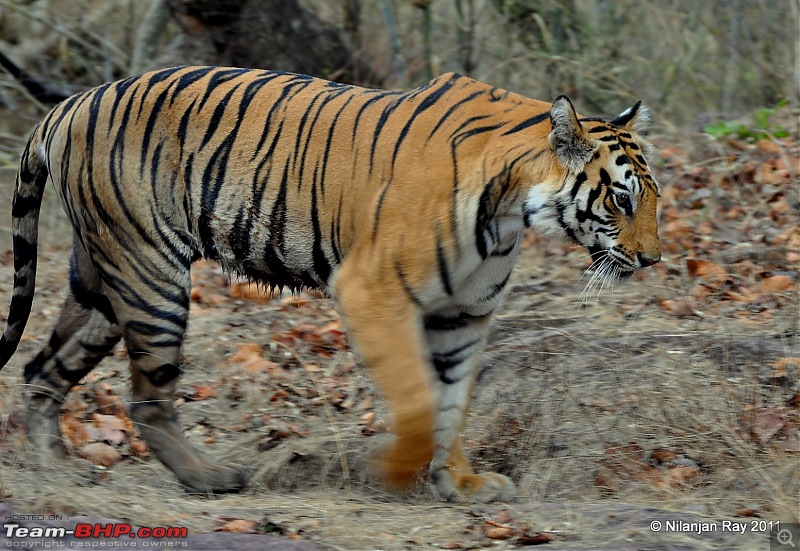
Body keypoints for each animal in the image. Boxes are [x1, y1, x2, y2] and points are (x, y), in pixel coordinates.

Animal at [0, 66, 660, 504]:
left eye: (652, 197)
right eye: (622, 200)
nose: (653, 259)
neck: (509, 211)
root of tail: (71, 102)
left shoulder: (462, 314)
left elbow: (454, 401)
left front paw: (460, 481)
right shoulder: (374, 292)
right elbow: (420, 401)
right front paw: (398, 473)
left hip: (102, 285)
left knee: (41, 370)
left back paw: (55, 471)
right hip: (149, 273)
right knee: (147, 398)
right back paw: (211, 479)